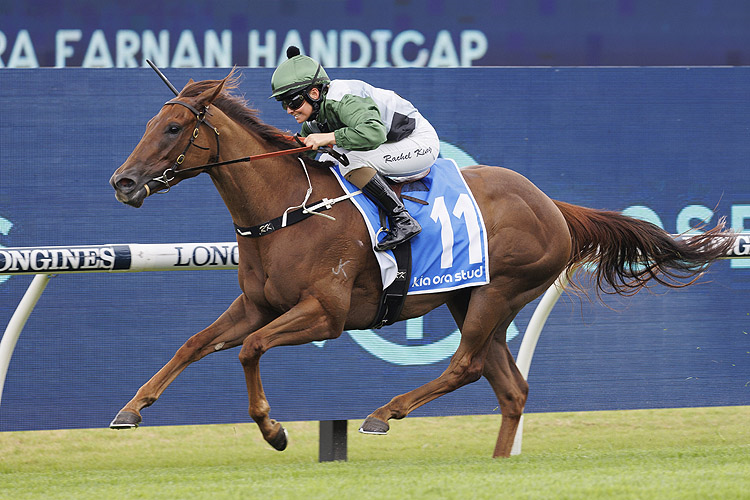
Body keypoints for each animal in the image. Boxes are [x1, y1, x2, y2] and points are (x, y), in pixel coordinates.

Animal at [108, 72, 736, 458]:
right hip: (469, 296)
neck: (288, 210)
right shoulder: (257, 304)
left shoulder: (325, 313)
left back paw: (384, 413)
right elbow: (194, 344)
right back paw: (499, 462)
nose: (123, 182)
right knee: (510, 388)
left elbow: (250, 350)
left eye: (173, 128)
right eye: (147, 125)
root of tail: (552, 205)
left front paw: (274, 429)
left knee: (465, 367)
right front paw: (131, 410)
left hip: (499, 293)